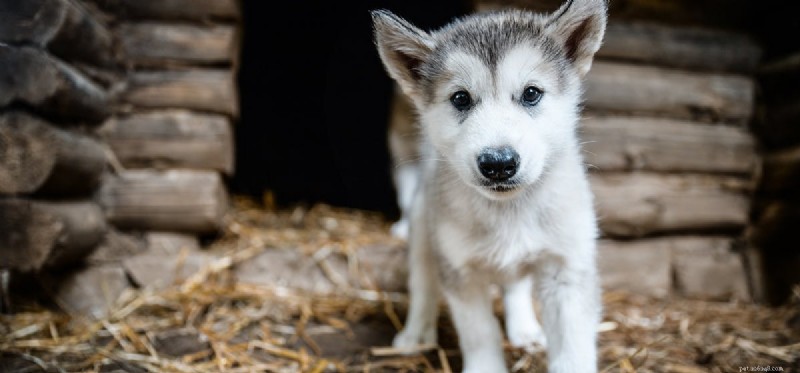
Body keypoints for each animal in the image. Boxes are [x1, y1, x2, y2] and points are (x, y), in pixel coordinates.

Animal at [376, 1, 608, 370]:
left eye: (531, 93)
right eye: (461, 98)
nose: (498, 164)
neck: (508, 212)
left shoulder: (567, 268)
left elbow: (572, 348)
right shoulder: (461, 271)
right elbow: (480, 333)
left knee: (515, 286)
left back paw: (525, 329)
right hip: (425, 230)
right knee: (423, 282)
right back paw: (415, 335)